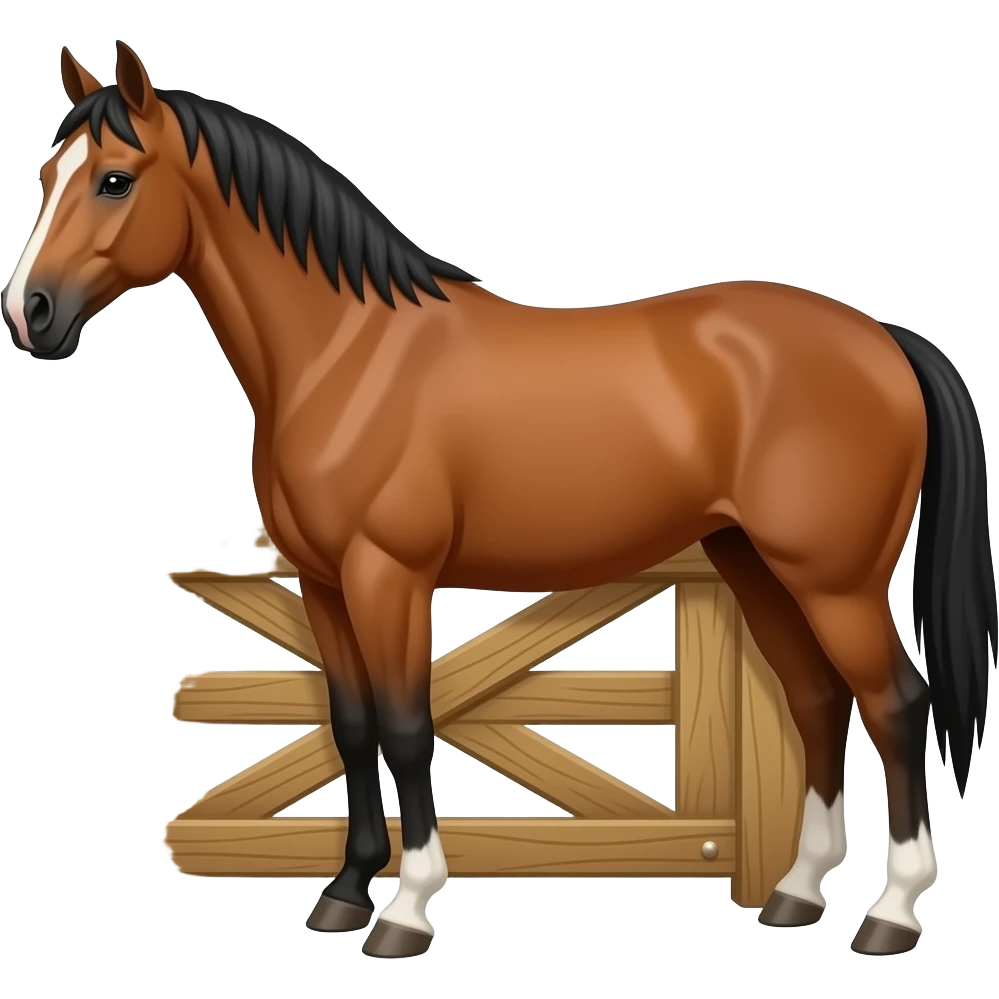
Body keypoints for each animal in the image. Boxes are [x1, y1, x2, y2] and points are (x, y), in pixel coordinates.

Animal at [3, 41, 994, 960]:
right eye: (47, 176)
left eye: (115, 180)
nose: (29, 314)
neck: (345, 355)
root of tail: (882, 338)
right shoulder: (324, 584)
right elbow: (350, 726)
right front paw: (344, 891)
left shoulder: (388, 576)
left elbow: (407, 726)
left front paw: (405, 909)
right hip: (752, 563)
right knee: (817, 699)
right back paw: (794, 891)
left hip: (834, 580)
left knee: (894, 703)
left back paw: (891, 910)